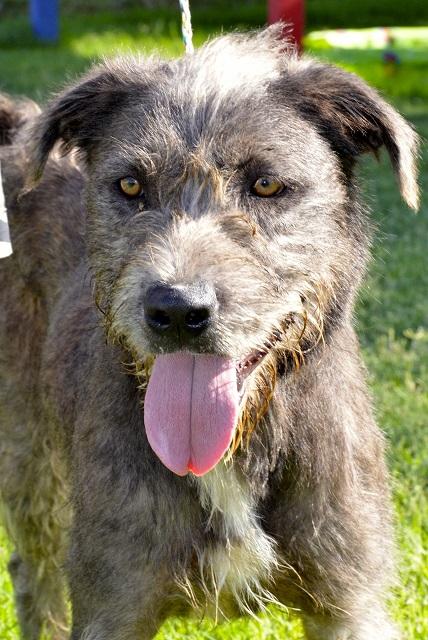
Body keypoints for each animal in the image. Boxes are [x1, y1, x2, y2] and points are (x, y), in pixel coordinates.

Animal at [0, 26, 420, 640]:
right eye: (130, 185)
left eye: (266, 184)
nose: (176, 310)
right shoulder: (112, 606)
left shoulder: (350, 603)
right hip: (32, 465)